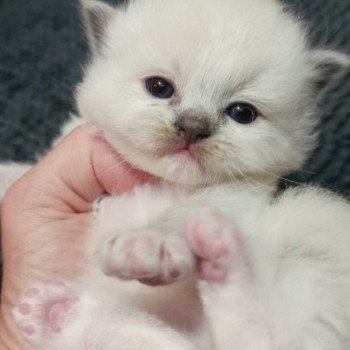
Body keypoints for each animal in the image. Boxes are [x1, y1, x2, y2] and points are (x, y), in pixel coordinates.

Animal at [3, 0, 350, 348]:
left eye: (242, 113)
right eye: (159, 87)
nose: (193, 127)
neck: (169, 183)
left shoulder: (238, 195)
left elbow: (183, 213)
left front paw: (146, 244)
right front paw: (9, 174)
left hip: (309, 236)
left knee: (265, 339)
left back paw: (218, 250)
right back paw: (54, 313)